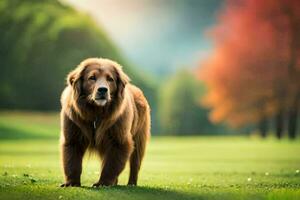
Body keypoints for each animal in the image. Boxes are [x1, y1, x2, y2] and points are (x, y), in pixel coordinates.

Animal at [60, 57, 151, 188]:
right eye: (92, 77)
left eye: (110, 79)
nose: (102, 89)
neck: (96, 113)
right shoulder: (73, 134)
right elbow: (72, 161)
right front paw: (71, 183)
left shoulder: (119, 139)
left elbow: (111, 164)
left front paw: (103, 183)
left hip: (139, 137)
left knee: (135, 163)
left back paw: (131, 184)